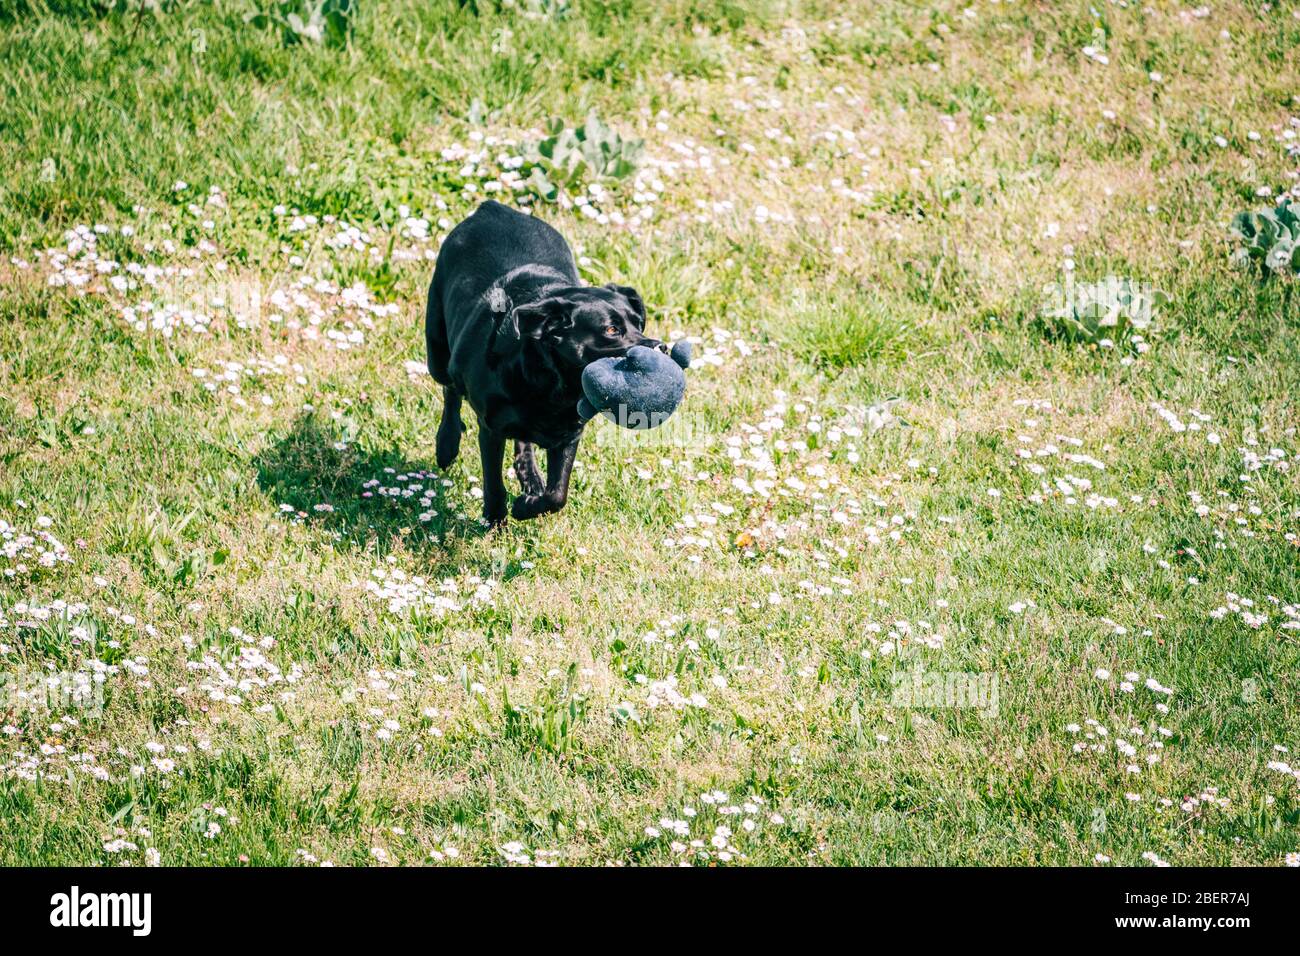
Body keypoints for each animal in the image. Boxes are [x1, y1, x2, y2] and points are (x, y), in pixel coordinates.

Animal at [423, 201, 655, 528]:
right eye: (611, 330)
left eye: (639, 323)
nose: (659, 347)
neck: (551, 387)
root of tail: (493, 207)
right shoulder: (491, 427)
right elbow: (493, 483)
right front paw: (496, 518)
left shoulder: (569, 433)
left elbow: (558, 494)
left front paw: (527, 505)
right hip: (438, 351)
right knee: (450, 390)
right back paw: (447, 444)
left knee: (523, 440)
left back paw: (530, 478)